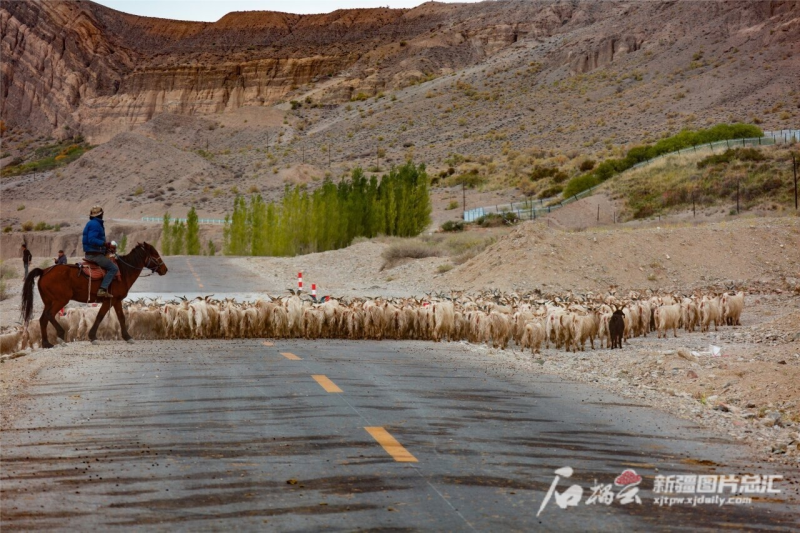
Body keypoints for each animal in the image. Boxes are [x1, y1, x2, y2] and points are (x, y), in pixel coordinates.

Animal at [20, 240, 167, 344]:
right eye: (155, 253)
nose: (164, 269)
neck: (123, 271)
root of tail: (44, 271)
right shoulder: (109, 300)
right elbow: (100, 316)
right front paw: (92, 336)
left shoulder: (116, 300)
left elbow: (121, 317)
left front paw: (127, 337)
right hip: (60, 300)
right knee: (50, 315)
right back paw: (60, 335)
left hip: (49, 301)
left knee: (43, 319)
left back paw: (46, 344)